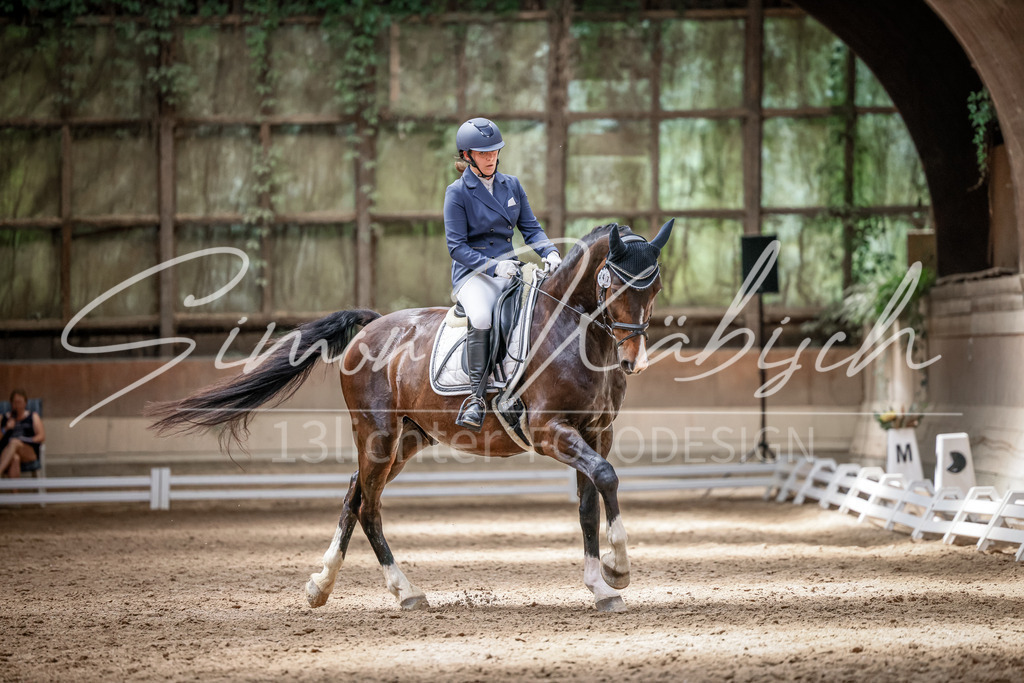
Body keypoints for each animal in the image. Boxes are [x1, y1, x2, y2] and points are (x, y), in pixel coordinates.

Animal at [147, 219, 676, 613]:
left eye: (654, 287)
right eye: (613, 283)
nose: (633, 360)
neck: (576, 332)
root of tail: (373, 326)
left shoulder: (595, 432)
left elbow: (589, 503)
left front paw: (601, 586)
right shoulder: (551, 431)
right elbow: (606, 478)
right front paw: (618, 572)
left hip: (405, 439)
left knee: (353, 498)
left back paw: (321, 586)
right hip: (378, 435)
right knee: (369, 507)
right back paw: (405, 591)